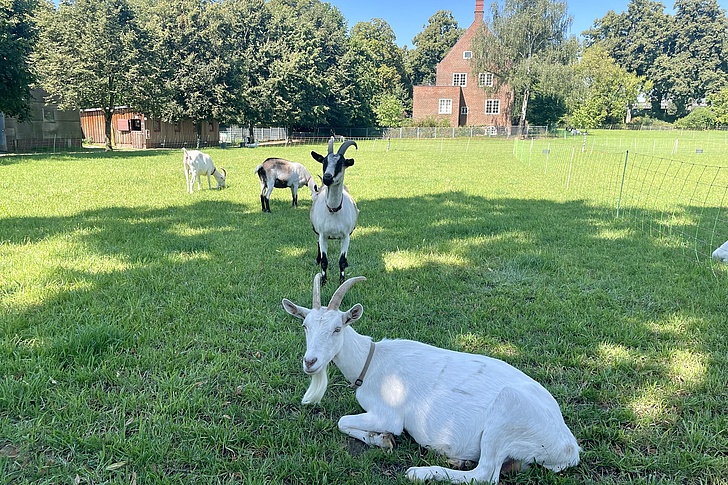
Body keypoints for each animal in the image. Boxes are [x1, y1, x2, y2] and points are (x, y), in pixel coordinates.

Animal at [282, 275, 580, 484]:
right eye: (305, 326)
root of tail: (568, 449)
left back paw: (421, 472)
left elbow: (343, 421)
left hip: (507, 413)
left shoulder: (389, 414)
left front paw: (383, 438)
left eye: (337, 328)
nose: (310, 362)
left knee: (485, 475)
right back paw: (457, 461)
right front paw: (382, 440)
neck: (370, 361)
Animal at [310, 138, 359, 285]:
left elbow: (341, 261)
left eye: (341, 163)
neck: (333, 210)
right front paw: (323, 281)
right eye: (324, 161)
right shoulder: (323, 235)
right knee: (318, 244)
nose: (327, 177)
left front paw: (342, 281)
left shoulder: (346, 236)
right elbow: (324, 261)